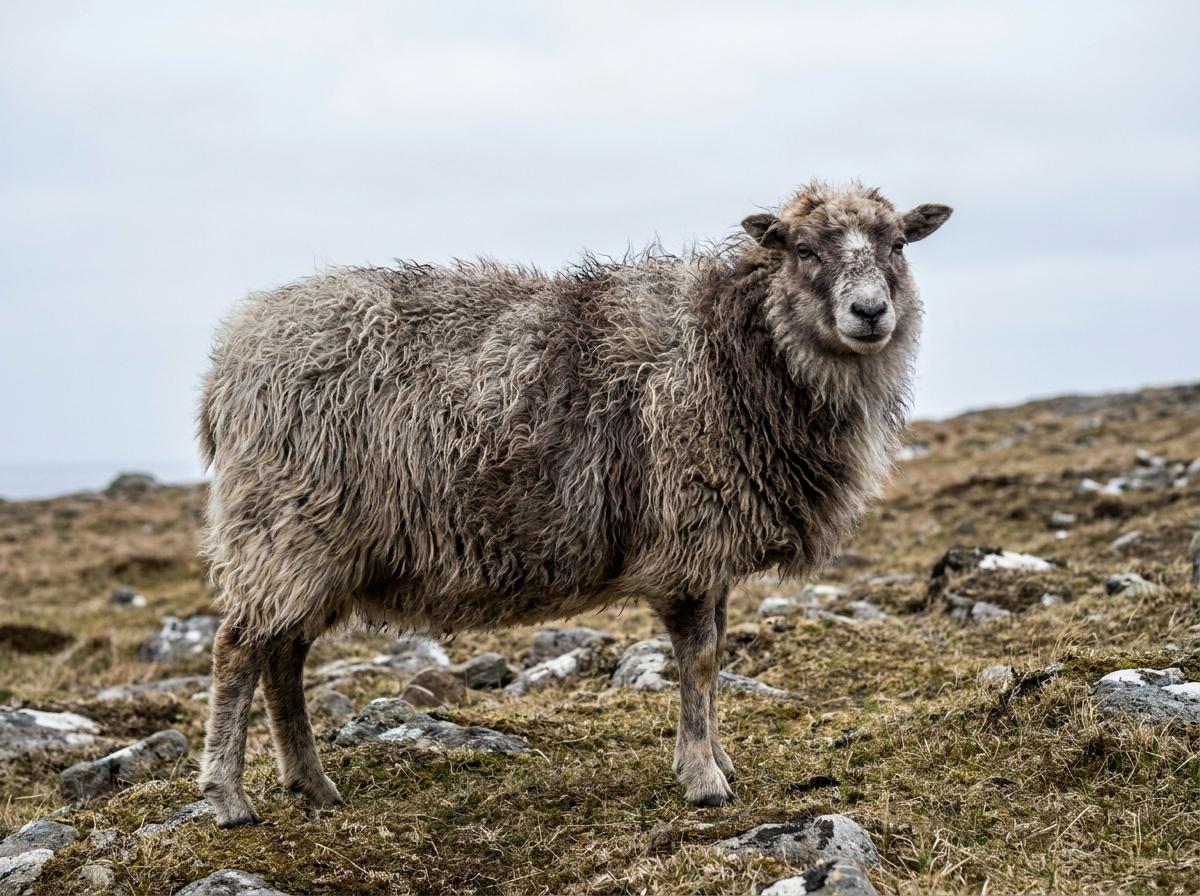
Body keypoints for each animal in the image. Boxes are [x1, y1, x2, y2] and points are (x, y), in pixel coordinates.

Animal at [197, 181, 952, 826]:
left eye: (897, 244)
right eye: (802, 249)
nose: (870, 313)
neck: (741, 348)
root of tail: (232, 355)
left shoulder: (713, 547)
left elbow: (713, 659)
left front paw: (718, 759)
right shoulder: (689, 536)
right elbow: (700, 660)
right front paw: (704, 779)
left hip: (316, 548)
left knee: (283, 657)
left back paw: (313, 785)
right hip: (284, 530)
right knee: (238, 649)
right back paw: (230, 798)